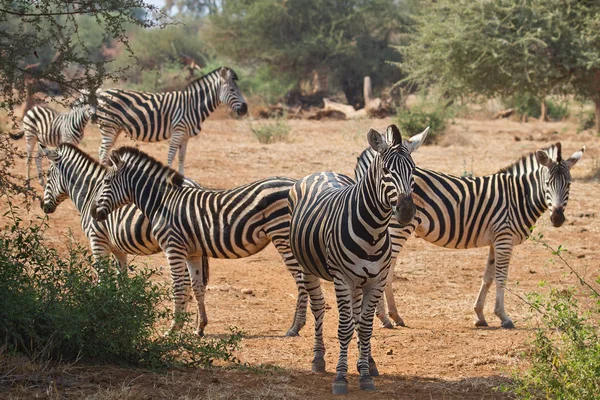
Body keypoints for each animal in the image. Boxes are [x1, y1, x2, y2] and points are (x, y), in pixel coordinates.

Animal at [91, 145, 312, 336]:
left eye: (107, 182)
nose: (93, 213)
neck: (162, 202)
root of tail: (294, 183)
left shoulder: (173, 247)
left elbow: (179, 287)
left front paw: (173, 329)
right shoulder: (192, 253)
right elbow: (197, 287)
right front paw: (200, 327)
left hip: (282, 236)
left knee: (301, 279)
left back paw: (295, 326)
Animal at [93, 67, 246, 173]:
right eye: (232, 90)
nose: (245, 109)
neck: (192, 105)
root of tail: (101, 93)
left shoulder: (185, 136)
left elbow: (182, 157)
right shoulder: (178, 131)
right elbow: (171, 156)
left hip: (116, 128)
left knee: (104, 151)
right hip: (108, 126)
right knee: (103, 151)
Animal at [288, 125, 424, 394]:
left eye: (413, 170)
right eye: (386, 171)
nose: (406, 212)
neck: (373, 231)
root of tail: (322, 171)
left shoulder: (376, 279)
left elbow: (365, 326)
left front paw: (365, 373)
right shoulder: (342, 279)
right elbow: (344, 328)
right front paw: (341, 378)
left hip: (359, 281)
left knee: (358, 319)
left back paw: (369, 363)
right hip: (308, 268)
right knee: (318, 307)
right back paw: (318, 358)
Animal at [354, 142, 584, 330]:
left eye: (569, 184)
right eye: (548, 183)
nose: (557, 218)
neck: (519, 197)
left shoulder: (496, 240)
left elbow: (488, 277)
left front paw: (480, 315)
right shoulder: (505, 238)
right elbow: (501, 277)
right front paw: (504, 317)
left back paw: (392, 316)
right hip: (398, 228)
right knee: (385, 271)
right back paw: (385, 317)